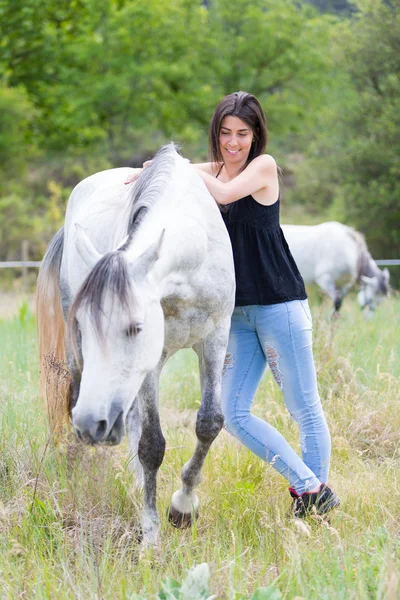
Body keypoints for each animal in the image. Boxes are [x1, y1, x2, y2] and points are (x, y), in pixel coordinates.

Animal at [36, 143, 236, 548]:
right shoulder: (151, 363)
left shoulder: (215, 337)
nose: (90, 424)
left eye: (135, 327)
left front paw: (183, 507)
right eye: (82, 324)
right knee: (84, 400)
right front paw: (151, 536)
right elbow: (151, 445)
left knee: (127, 420)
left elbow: (208, 424)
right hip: (83, 368)